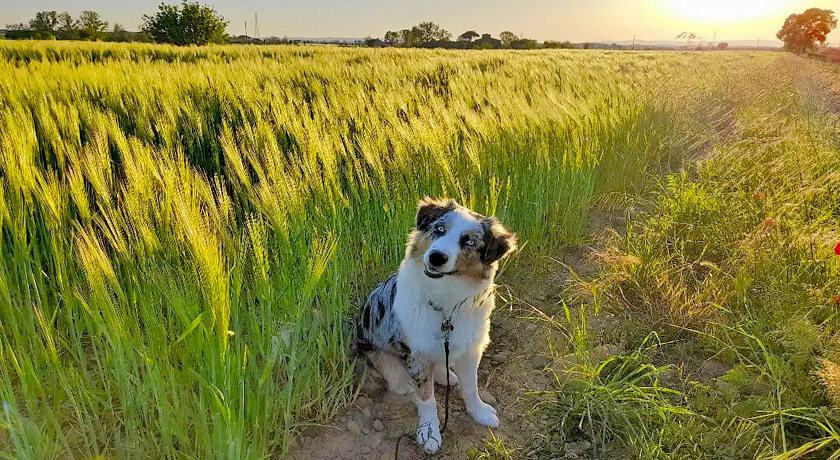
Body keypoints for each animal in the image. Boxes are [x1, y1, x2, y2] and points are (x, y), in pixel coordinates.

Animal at [352, 197, 516, 452]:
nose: (436, 257)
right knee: (380, 357)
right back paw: (402, 380)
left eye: (468, 241)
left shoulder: (471, 348)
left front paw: (479, 412)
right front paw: (429, 433)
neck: (445, 301)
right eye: (439, 229)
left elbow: (471, 387)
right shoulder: (418, 355)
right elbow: (427, 399)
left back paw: (445, 374)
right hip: (368, 335)